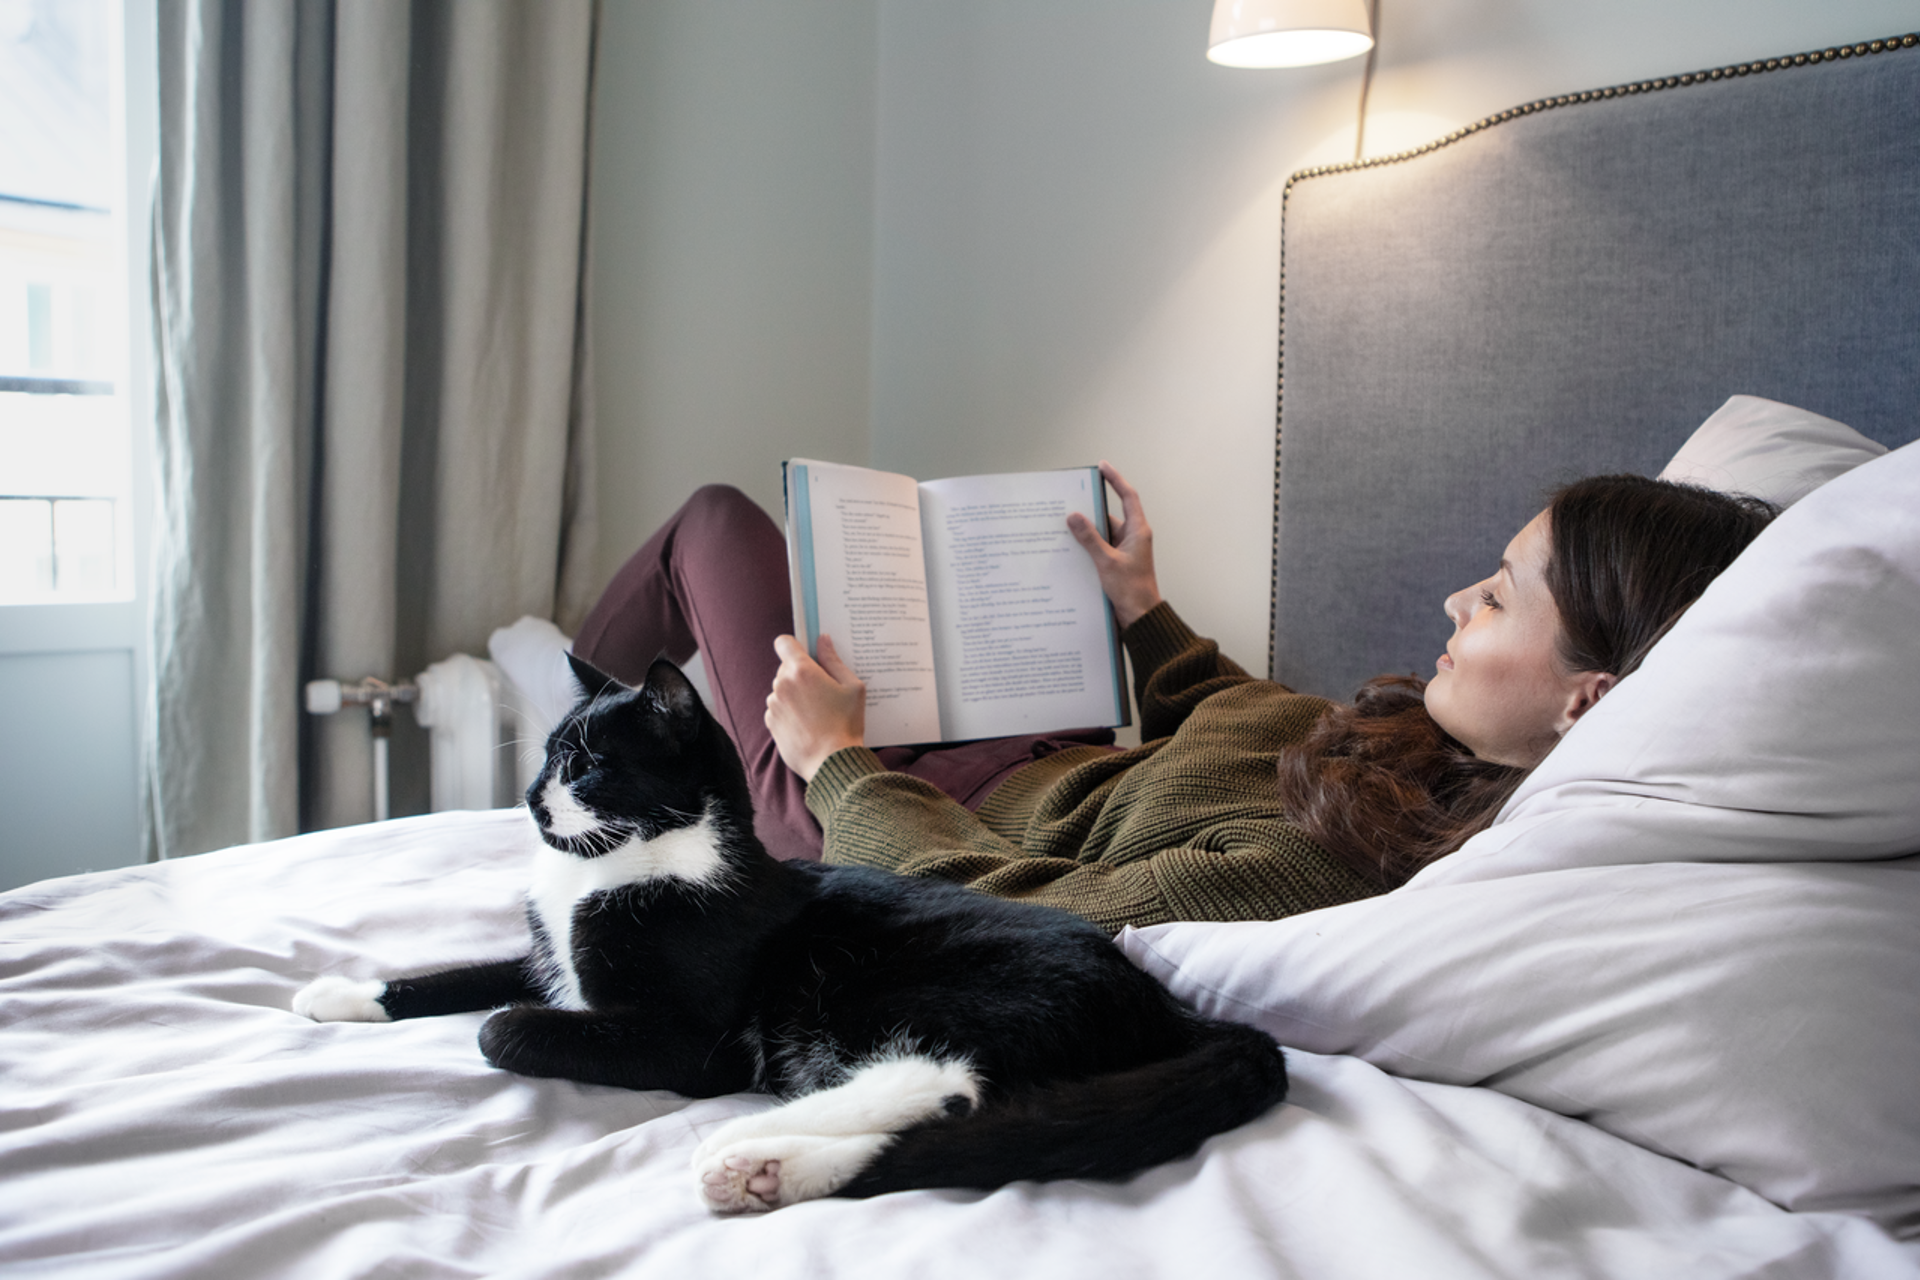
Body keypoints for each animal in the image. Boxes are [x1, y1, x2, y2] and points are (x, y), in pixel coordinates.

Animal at [295, 656, 1290, 1220]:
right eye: (545, 755)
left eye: (586, 764)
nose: (532, 799)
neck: (613, 868)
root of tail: (1167, 1006)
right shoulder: (547, 962)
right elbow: (463, 972)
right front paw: (338, 991)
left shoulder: (687, 1038)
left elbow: (499, 1026)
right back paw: (772, 1172)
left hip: (896, 986)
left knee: (941, 1080)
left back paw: (750, 1148)